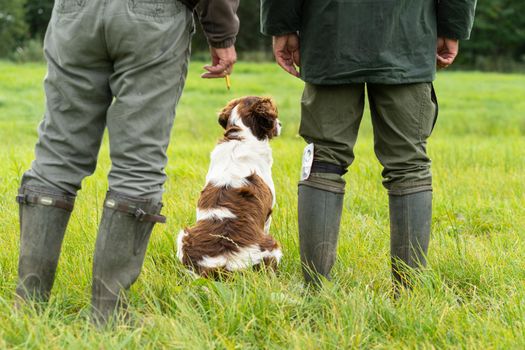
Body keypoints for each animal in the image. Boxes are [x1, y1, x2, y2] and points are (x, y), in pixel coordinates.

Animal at [176, 95, 282, 276]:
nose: (280, 124)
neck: (241, 137)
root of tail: (223, 265)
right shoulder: (268, 212)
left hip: (183, 237)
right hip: (272, 247)